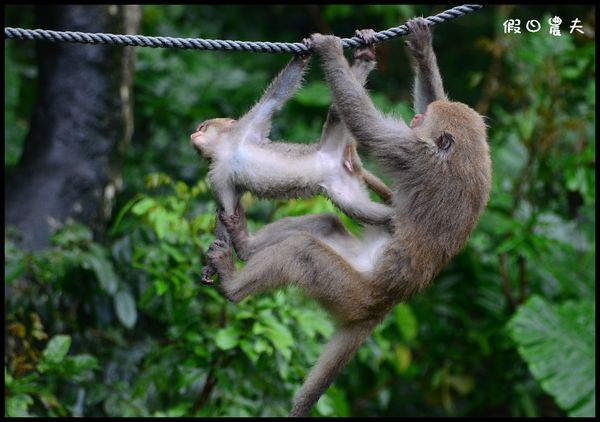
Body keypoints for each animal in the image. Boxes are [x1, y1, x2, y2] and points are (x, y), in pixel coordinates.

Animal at [204, 18, 490, 418]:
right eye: (422, 116)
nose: (416, 119)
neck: (465, 155)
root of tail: (384, 304)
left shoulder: (413, 153)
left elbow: (365, 126)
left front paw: (326, 50)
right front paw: (421, 47)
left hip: (348, 290)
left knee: (304, 252)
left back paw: (232, 284)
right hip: (349, 261)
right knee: (326, 224)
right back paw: (246, 245)